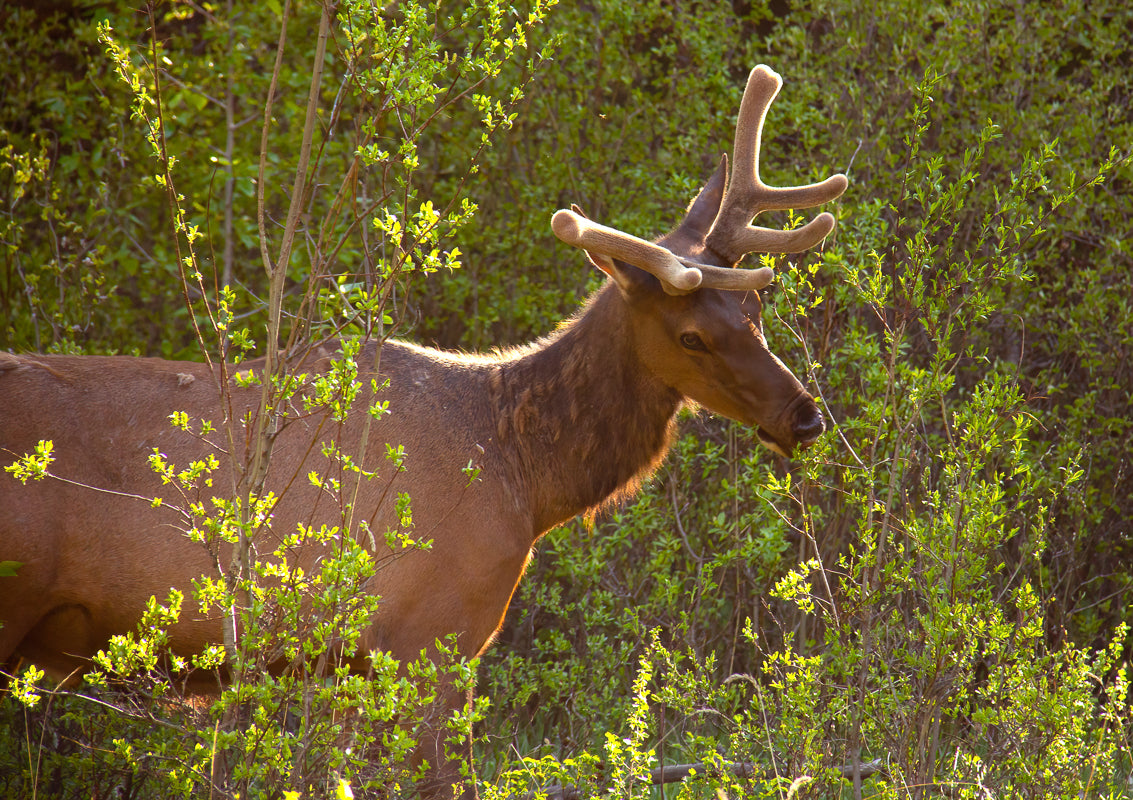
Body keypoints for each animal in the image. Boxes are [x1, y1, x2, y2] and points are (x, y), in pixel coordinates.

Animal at [0, 65, 847, 793]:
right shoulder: (433, 635)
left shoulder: (347, 664)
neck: (523, 476)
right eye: (690, 336)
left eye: (755, 307)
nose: (803, 415)